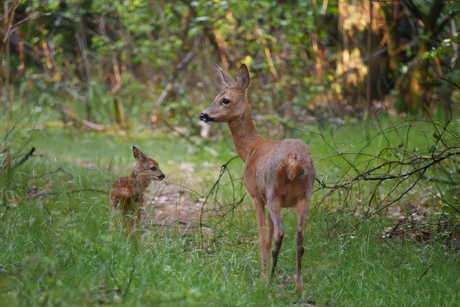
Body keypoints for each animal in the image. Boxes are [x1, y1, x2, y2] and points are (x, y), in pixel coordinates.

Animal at [201, 64, 316, 292]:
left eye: (225, 99)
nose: (203, 115)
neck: (251, 150)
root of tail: (292, 160)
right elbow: (268, 237)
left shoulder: (256, 195)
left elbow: (263, 238)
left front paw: (262, 279)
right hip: (305, 194)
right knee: (299, 236)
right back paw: (298, 285)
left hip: (273, 192)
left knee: (280, 233)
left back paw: (271, 278)